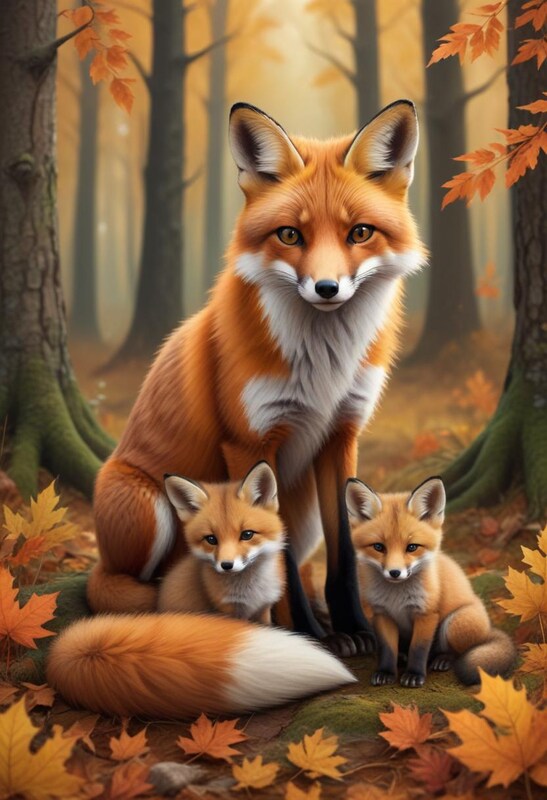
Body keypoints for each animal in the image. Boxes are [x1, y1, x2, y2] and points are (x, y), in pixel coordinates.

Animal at [158, 461, 286, 624]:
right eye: (211, 539)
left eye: (247, 534)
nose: (226, 565)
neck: (250, 593)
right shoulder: (228, 610)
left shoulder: (263, 608)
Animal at [346, 476, 517, 687]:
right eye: (378, 547)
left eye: (412, 547)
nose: (395, 573)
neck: (396, 598)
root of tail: (488, 629)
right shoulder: (382, 614)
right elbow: (387, 649)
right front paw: (386, 672)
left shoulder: (426, 614)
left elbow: (418, 649)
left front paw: (414, 675)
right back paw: (403, 657)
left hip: (455, 623)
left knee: (457, 652)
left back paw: (443, 659)